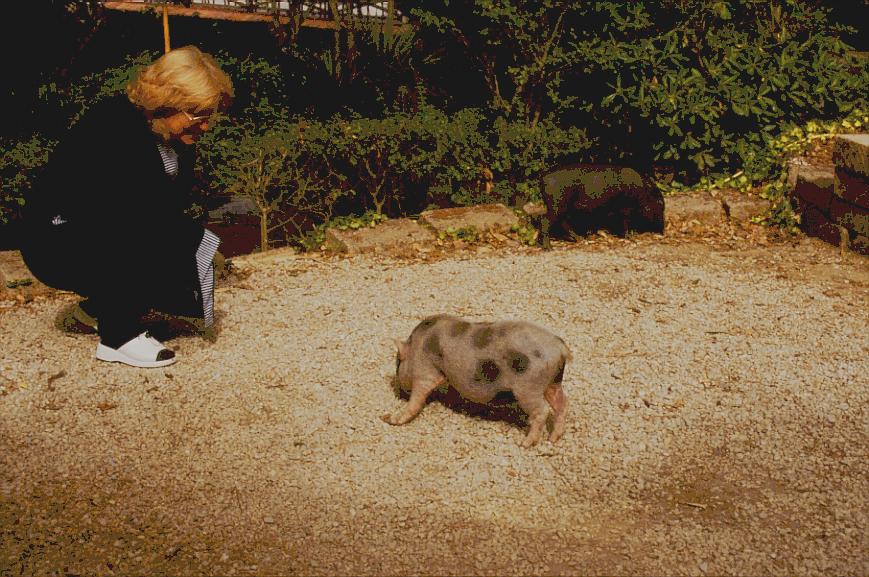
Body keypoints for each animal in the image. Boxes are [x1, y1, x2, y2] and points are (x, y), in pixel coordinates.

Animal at [384, 316, 572, 446]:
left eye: (398, 363)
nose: (398, 393)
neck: (416, 346)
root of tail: (560, 347)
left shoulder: (425, 370)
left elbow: (417, 397)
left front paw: (389, 418)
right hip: (553, 382)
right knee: (562, 403)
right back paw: (554, 439)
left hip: (529, 387)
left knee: (542, 410)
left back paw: (524, 443)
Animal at [536, 164, 664, 250]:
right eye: (660, 203)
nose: (663, 232)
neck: (642, 191)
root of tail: (543, 178)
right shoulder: (625, 209)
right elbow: (625, 222)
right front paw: (630, 237)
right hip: (556, 204)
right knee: (545, 220)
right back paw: (549, 248)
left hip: (563, 207)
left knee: (563, 222)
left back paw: (580, 239)